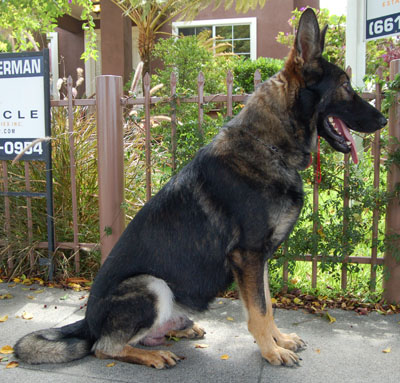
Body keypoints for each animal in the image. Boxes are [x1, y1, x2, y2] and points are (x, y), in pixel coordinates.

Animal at [14, 9, 384, 368]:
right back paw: (152, 355)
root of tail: (88, 323)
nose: (382, 120)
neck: (268, 144)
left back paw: (177, 332)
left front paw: (279, 340)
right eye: (345, 85)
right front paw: (271, 351)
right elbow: (259, 311)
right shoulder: (248, 255)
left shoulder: (259, 259)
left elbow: (268, 304)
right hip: (152, 285)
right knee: (105, 348)